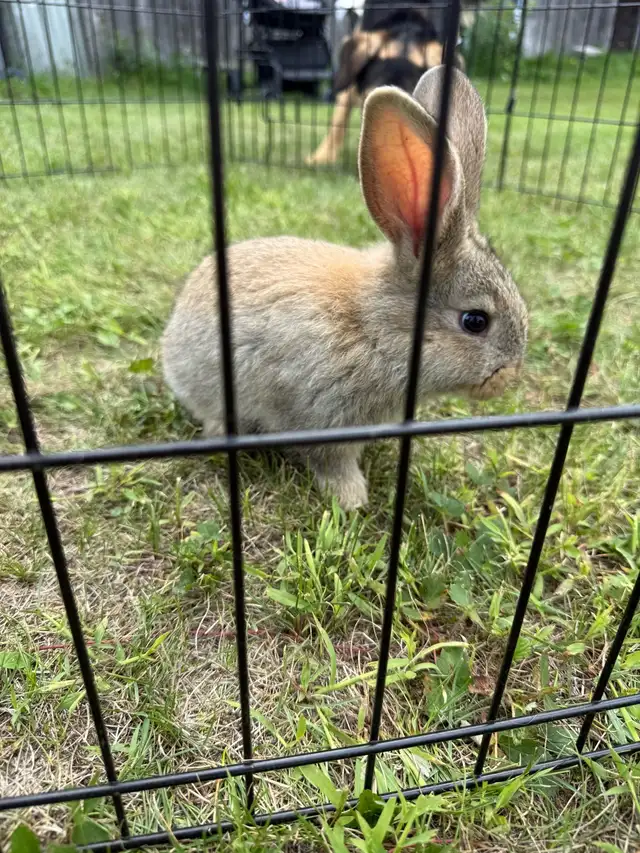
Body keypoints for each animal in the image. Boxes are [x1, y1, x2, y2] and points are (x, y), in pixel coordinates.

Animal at [162, 66, 528, 510]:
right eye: (475, 321)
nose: (510, 375)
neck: (374, 327)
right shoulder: (321, 416)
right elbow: (330, 461)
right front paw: (352, 500)